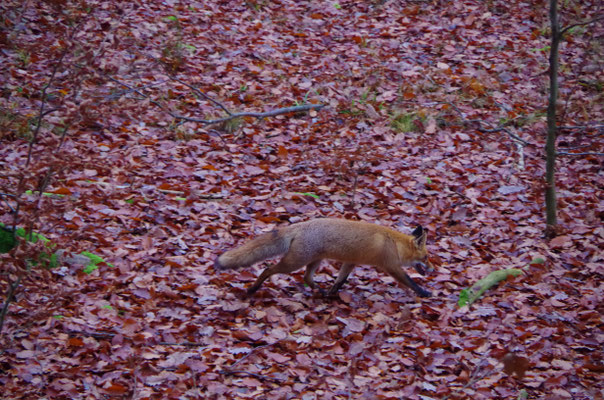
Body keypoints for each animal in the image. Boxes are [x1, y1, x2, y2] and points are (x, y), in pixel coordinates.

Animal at [215, 219, 432, 296]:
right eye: (427, 257)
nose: (433, 269)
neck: (394, 245)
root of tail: (302, 225)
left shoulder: (350, 262)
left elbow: (340, 280)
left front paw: (332, 293)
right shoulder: (391, 266)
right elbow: (410, 281)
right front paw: (424, 293)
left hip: (315, 262)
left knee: (306, 277)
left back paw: (319, 291)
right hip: (295, 263)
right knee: (268, 269)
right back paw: (253, 289)